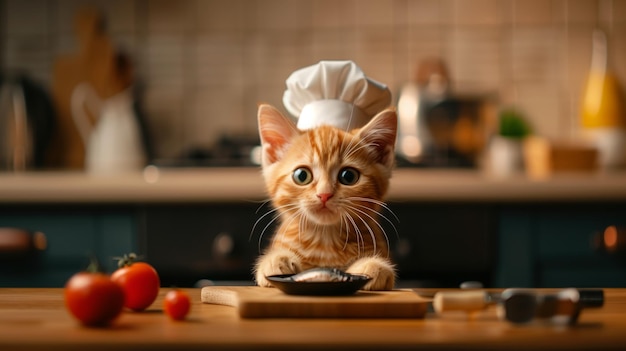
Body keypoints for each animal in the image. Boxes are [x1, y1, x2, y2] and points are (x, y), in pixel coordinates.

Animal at [252, 104, 394, 292]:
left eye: (348, 176)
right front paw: (276, 260)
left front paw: (374, 265)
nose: (324, 194)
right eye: (302, 175)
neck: (325, 241)